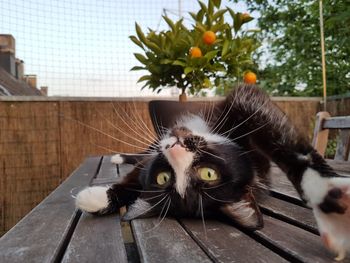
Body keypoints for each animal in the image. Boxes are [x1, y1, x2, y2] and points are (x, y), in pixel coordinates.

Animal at [76, 85, 350, 262]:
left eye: (208, 174)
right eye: (164, 177)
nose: (176, 147)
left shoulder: (248, 102)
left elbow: (279, 137)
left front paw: (325, 193)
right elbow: (136, 175)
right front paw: (99, 199)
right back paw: (120, 157)